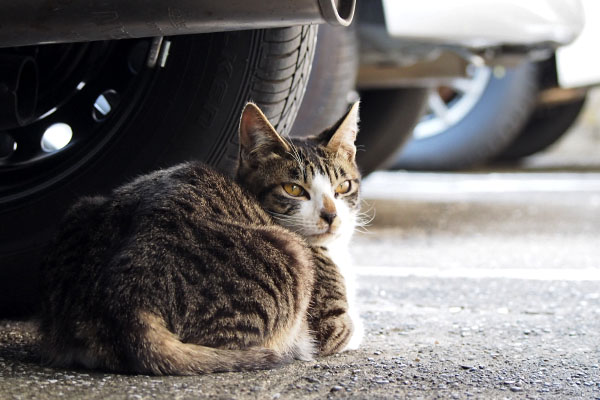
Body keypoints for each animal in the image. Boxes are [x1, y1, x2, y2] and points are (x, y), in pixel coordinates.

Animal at [41, 101, 366, 376]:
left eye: (343, 186)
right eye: (294, 189)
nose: (331, 215)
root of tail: (123, 304)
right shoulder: (328, 324)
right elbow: (352, 329)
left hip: (81, 209)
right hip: (290, 256)